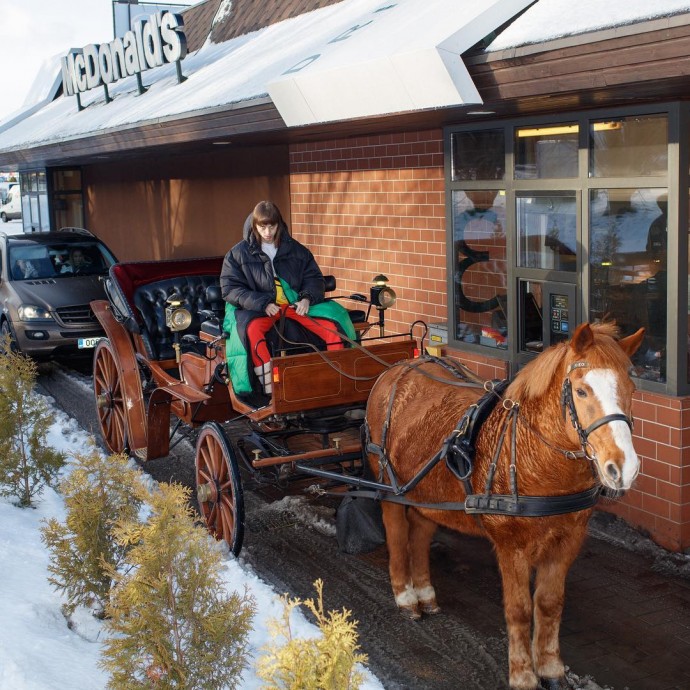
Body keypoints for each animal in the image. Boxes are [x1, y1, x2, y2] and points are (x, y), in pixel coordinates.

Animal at [366, 322, 644, 688]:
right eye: (582, 391)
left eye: (631, 388)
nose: (623, 468)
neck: (536, 459)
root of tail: (396, 369)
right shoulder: (512, 546)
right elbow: (519, 610)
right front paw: (523, 674)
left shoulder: (568, 540)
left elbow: (550, 604)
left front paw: (551, 669)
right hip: (389, 485)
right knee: (397, 534)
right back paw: (406, 596)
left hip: (429, 493)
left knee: (421, 533)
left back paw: (425, 592)